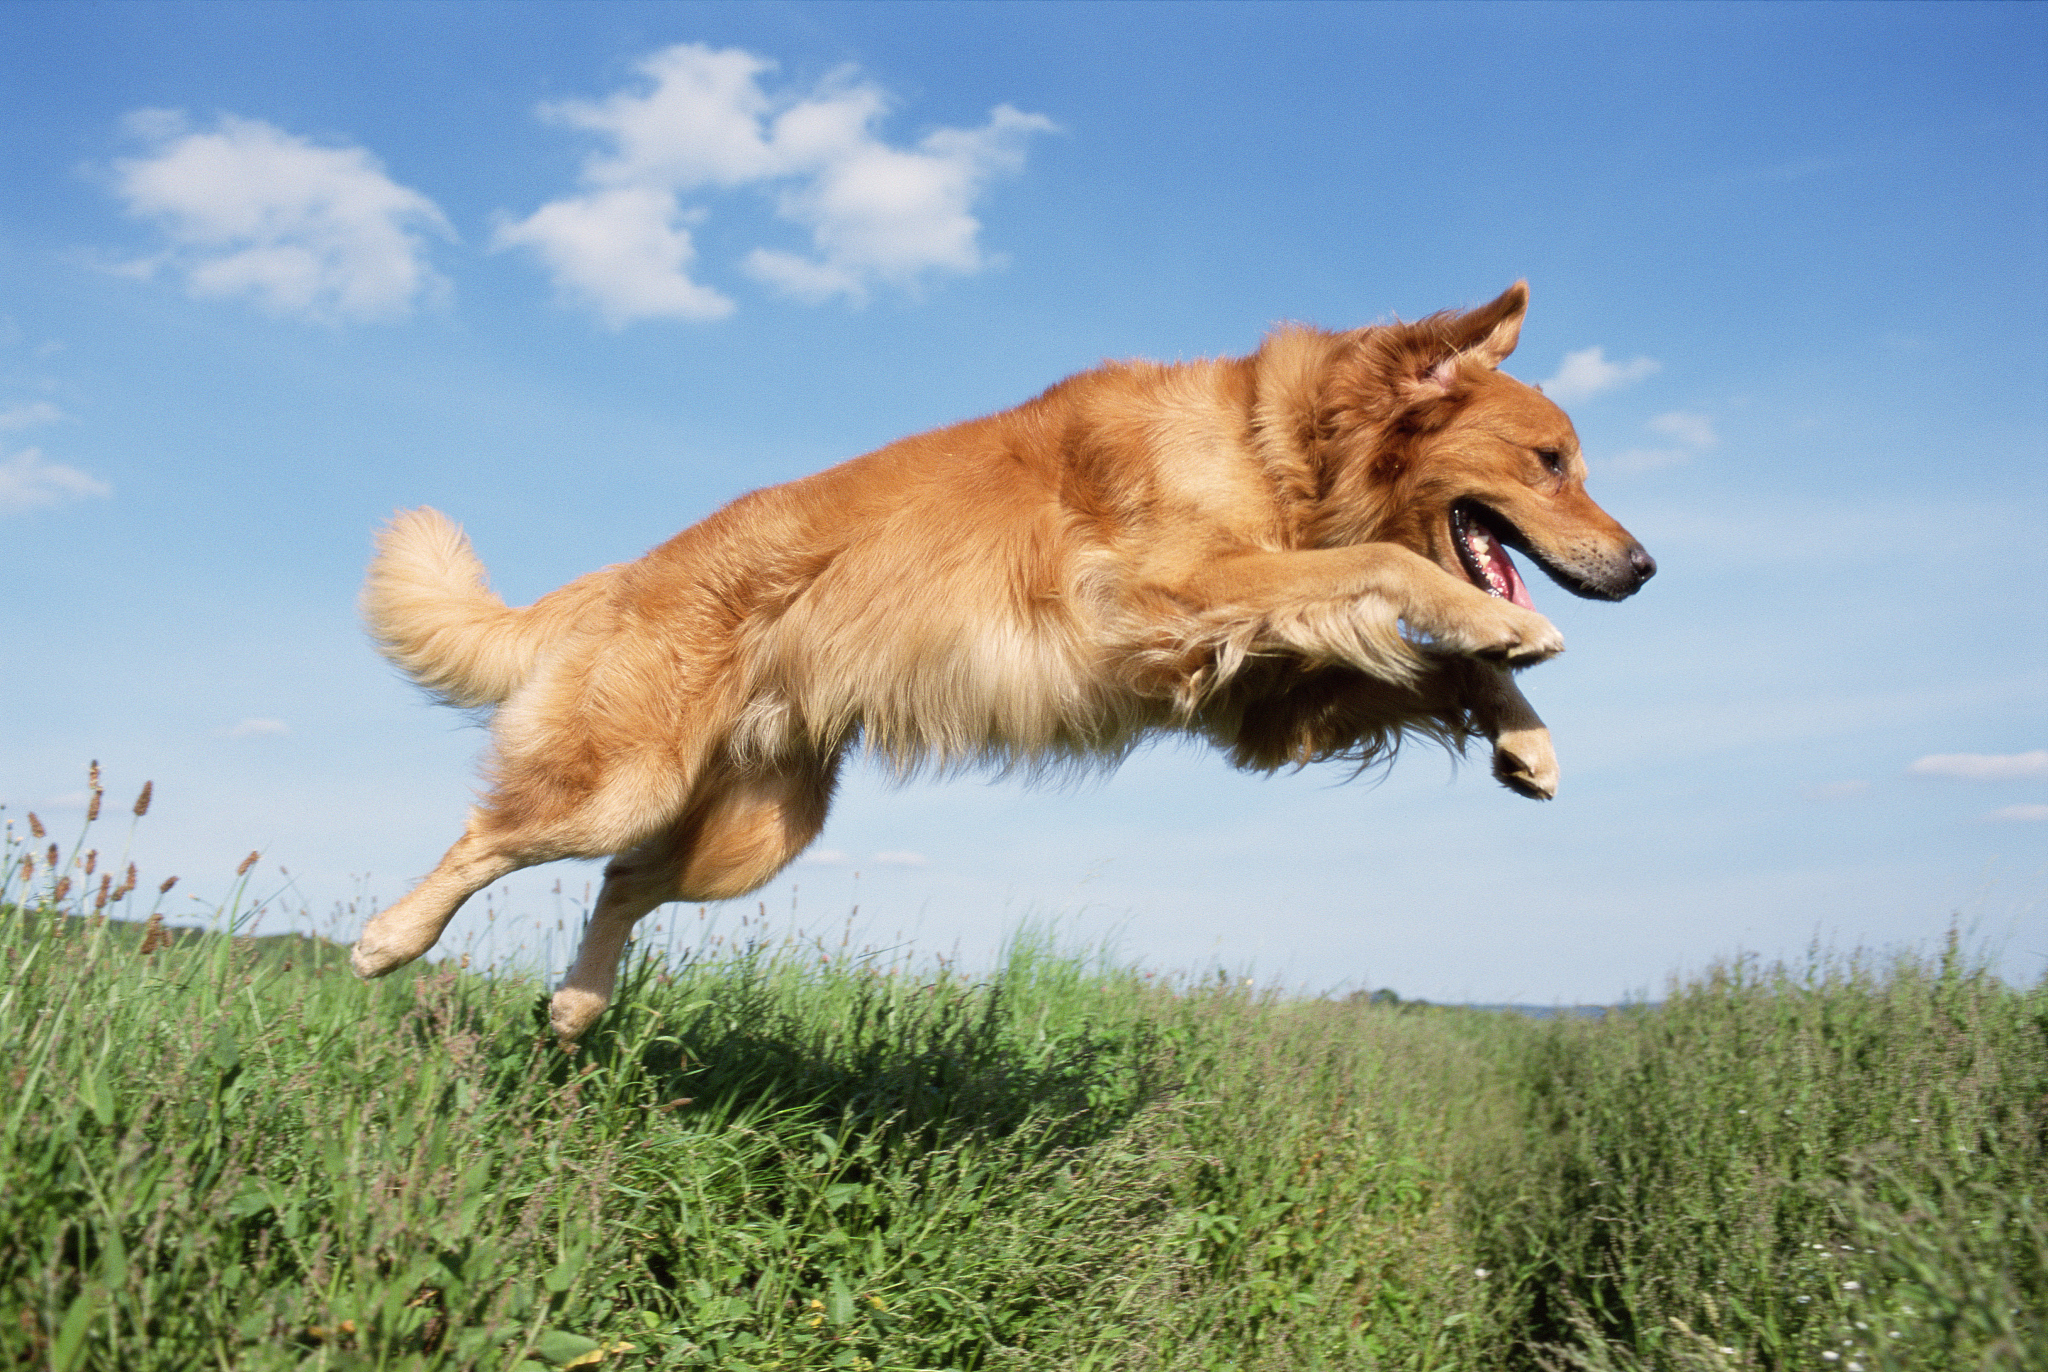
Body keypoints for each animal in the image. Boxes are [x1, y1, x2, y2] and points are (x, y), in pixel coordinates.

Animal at [352, 284, 1654, 1036]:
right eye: (1549, 462)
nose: (1643, 568)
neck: (1272, 444)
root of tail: (630, 568)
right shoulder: (1167, 595)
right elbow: (1389, 574)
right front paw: (1508, 630)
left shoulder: (1261, 695)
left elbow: (1428, 666)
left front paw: (1524, 734)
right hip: (624, 779)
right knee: (492, 837)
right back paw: (388, 939)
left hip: (754, 832)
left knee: (620, 881)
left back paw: (575, 1005)